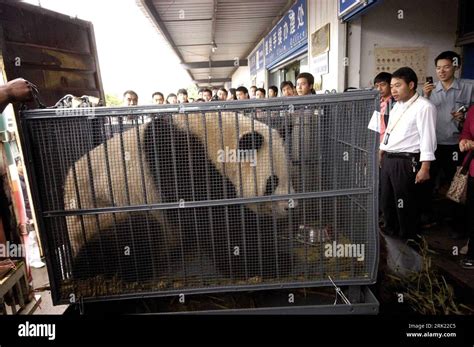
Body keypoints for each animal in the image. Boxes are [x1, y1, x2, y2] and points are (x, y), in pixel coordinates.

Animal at [61, 113, 294, 284]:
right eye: (272, 182)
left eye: (289, 176)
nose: (290, 207)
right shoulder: (178, 162)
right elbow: (219, 222)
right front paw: (272, 262)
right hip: (100, 212)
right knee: (132, 235)